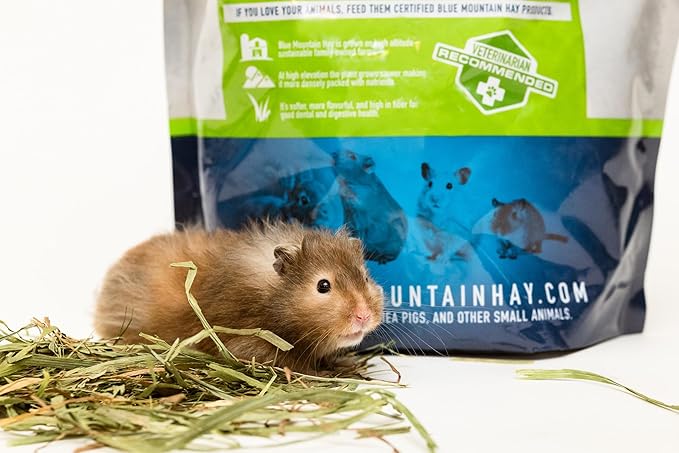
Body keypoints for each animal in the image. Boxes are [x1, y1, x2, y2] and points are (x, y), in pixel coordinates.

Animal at [94, 221, 384, 373]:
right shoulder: (246, 342)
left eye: (365, 277)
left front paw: (345, 364)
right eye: (323, 286)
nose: (363, 316)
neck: (271, 299)